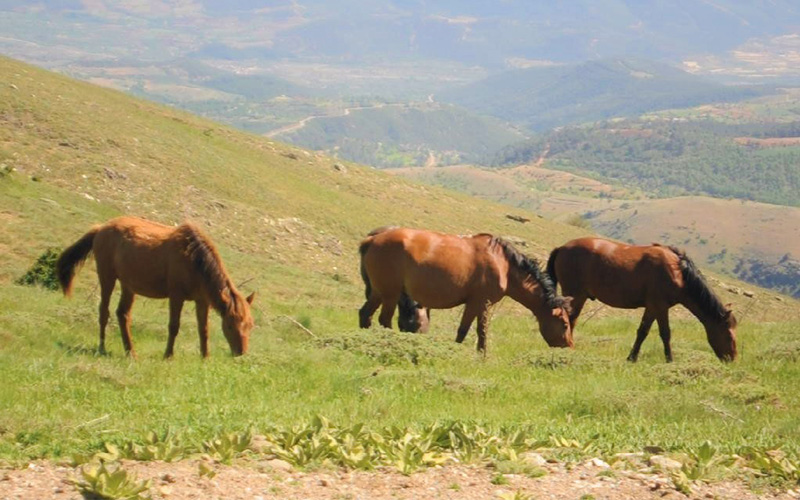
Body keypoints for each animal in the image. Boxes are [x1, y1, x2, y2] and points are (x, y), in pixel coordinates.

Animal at [55, 217, 255, 358]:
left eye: (250, 325)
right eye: (229, 325)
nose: (241, 352)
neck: (194, 260)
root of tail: (100, 229)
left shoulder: (202, 300)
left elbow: (203, 329)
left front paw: (205, 357)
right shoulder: (176, 295)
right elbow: (174, 326)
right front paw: (168, 355)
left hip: (128, 285)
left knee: (123, 314)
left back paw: (131, 352)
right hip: (107, 276)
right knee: (104, 311)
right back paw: (102, 348)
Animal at [358, 228, 576, 352]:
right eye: (565, 324)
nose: (569, 346)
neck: (503, 264)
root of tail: (372, 240)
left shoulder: (478, 305)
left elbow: (475, 330)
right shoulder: (479, 303)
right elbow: (471, 330)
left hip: (379, 292)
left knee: (365, 314)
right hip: (390, 293)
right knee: (384, 319)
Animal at [544, 236, 736, 362]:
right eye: (728, 335)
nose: (732, 359)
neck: (678, 272)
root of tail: (561, 248)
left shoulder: (652, 307)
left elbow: (642, 331)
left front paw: (632, 357)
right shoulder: (660, 306)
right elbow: (665, 333)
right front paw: (670, 360)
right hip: (575, 295)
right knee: (569, 320)